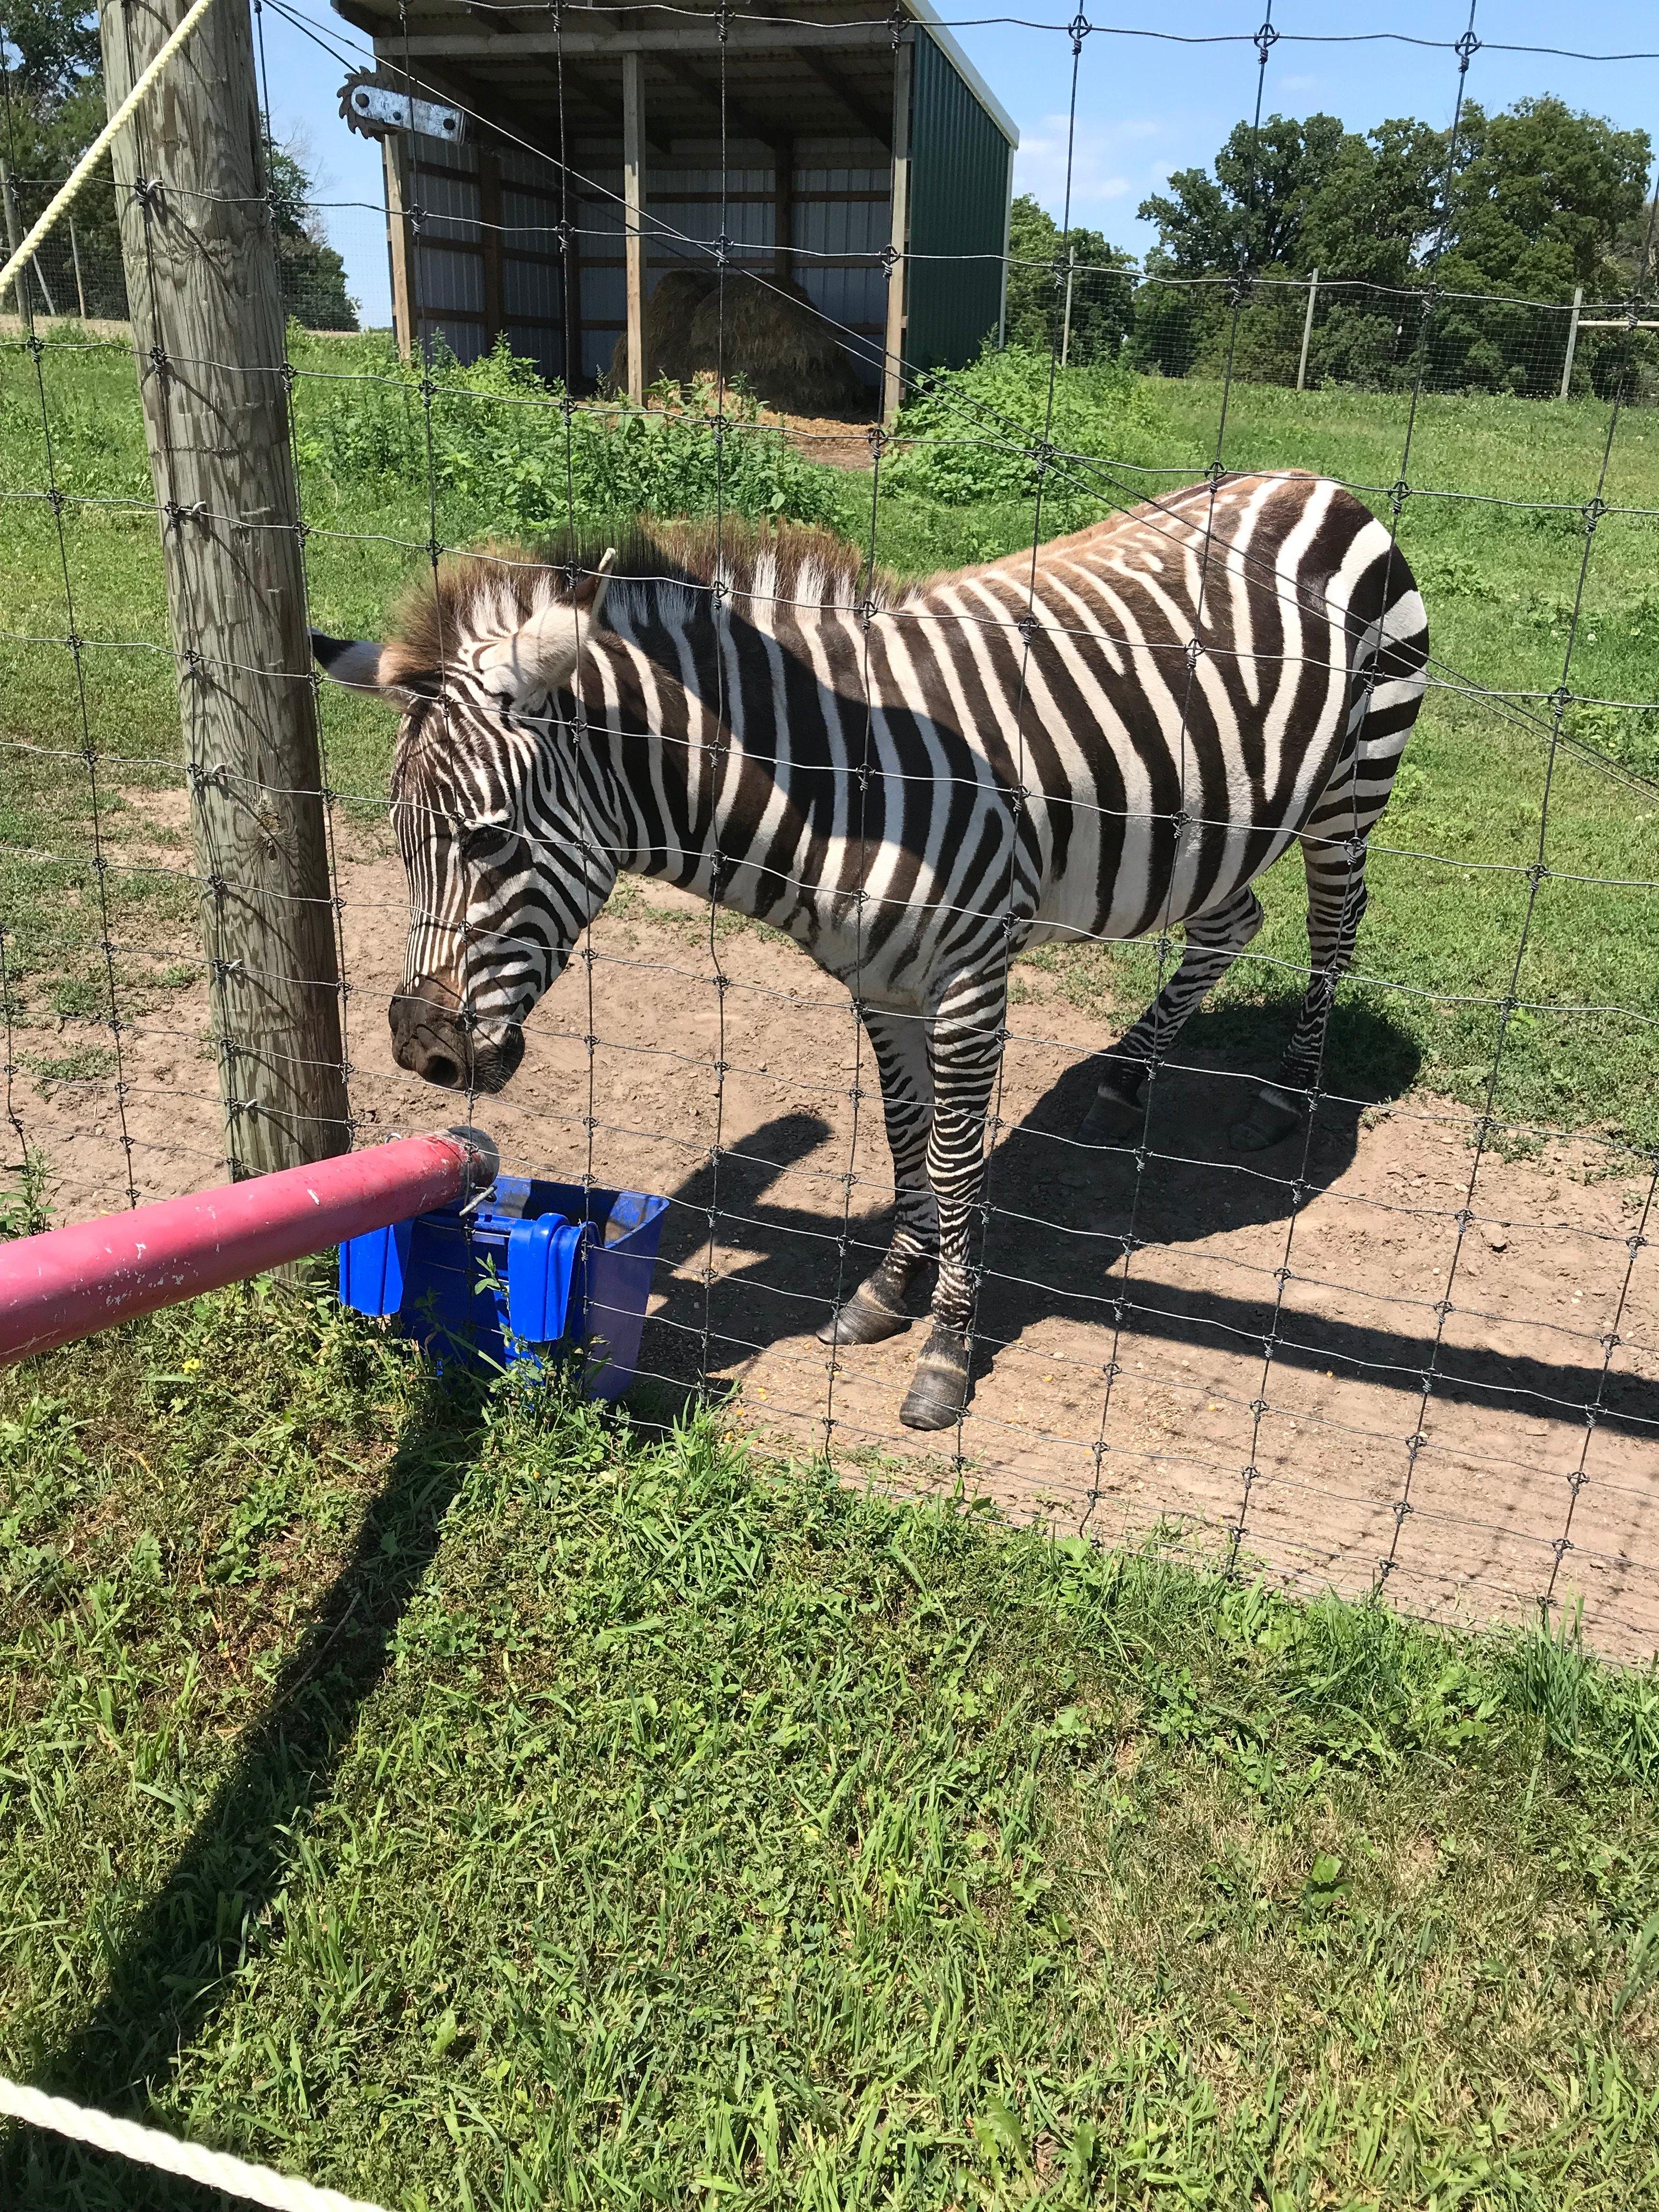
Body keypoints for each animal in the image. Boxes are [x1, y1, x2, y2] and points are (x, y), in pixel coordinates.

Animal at [318, 473, 1433, 1424]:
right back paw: (1124, 1074)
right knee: (1230, 923)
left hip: (1352, 785)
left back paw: (1288, 1093)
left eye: (488, 839)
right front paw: (891, 1289)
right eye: (402, 839)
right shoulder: (878, 982)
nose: (421, 1050)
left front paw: (945, 1352)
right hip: (1206, 825)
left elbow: (952, 1158)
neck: (838, 787)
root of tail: (1313, 481)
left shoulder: (970, 981)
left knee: (1339, 921)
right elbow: (904, 1139)